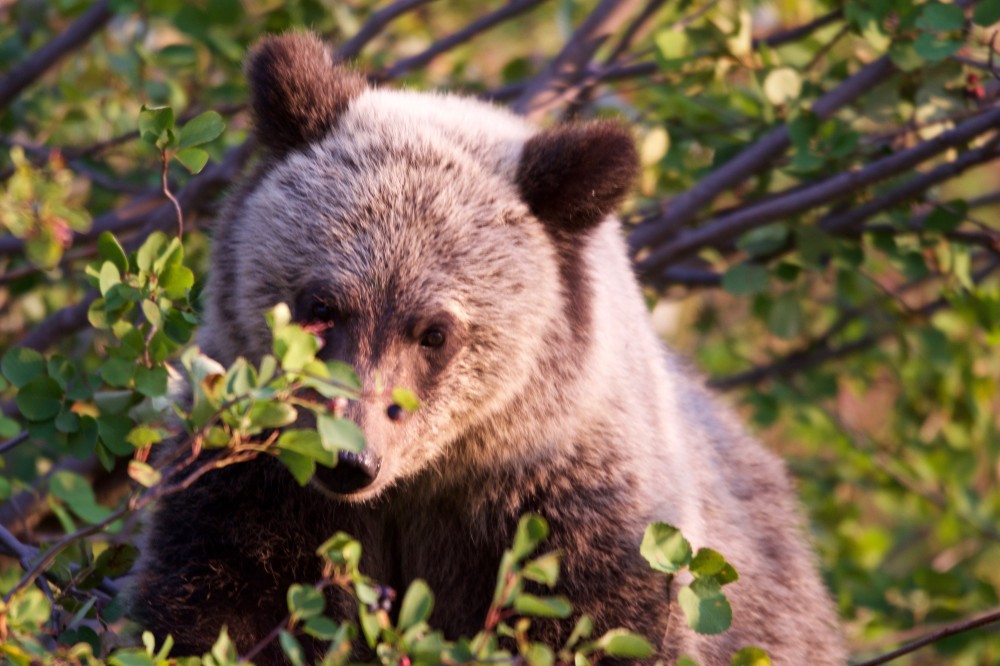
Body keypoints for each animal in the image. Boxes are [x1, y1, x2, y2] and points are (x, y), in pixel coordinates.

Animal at [131, 32, 844, 664]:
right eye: (322, 306)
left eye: (435, 332)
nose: (351, 460)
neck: (424, 486)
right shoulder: (254, 483)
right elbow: (214, 612)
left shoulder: (576, 530)